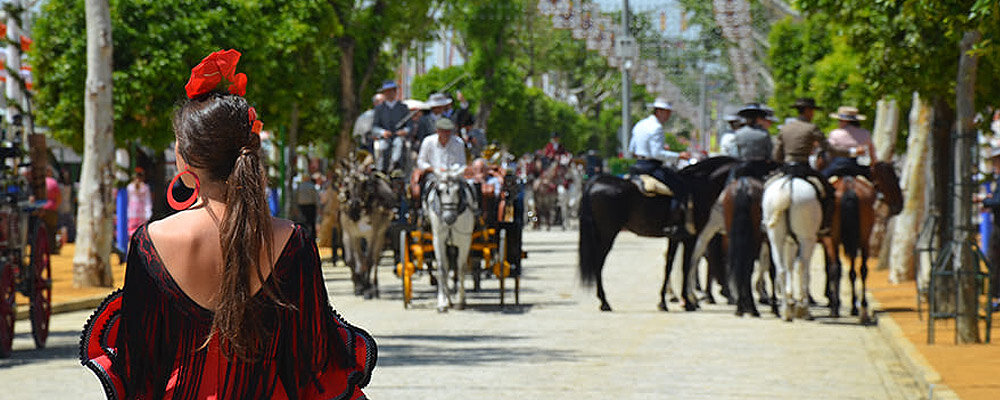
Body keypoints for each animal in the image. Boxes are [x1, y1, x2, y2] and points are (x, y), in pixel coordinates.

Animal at [424, 168, 478, 312]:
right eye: (438, 191)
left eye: (458, 191)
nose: (449, 218)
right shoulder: (438, 240)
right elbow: (442, 269)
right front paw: (442, 302)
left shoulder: (464, 240)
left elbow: (461, 268)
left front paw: (460, 300)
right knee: (448, 267)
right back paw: (448, 299)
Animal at [584, 156, 740, 312]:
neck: (699, 187)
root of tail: (596, 181)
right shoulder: (691, 238)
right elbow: (685, 266)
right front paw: (686, 303)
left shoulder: (676, 238)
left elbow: (670, 264)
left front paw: (664, 301)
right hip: (607, 234)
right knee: (598, 263)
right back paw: (605, 302)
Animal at [764, 175, 820, 322]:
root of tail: (788, 185)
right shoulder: (807, 240)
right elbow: (803, 270)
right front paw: (801, 307)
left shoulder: (790, 242)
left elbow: (789, 266)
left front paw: (790, 299)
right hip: (807, 238)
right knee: (802, 267)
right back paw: (802, 309)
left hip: (775, 237)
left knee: (781, 269)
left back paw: (786, 311)